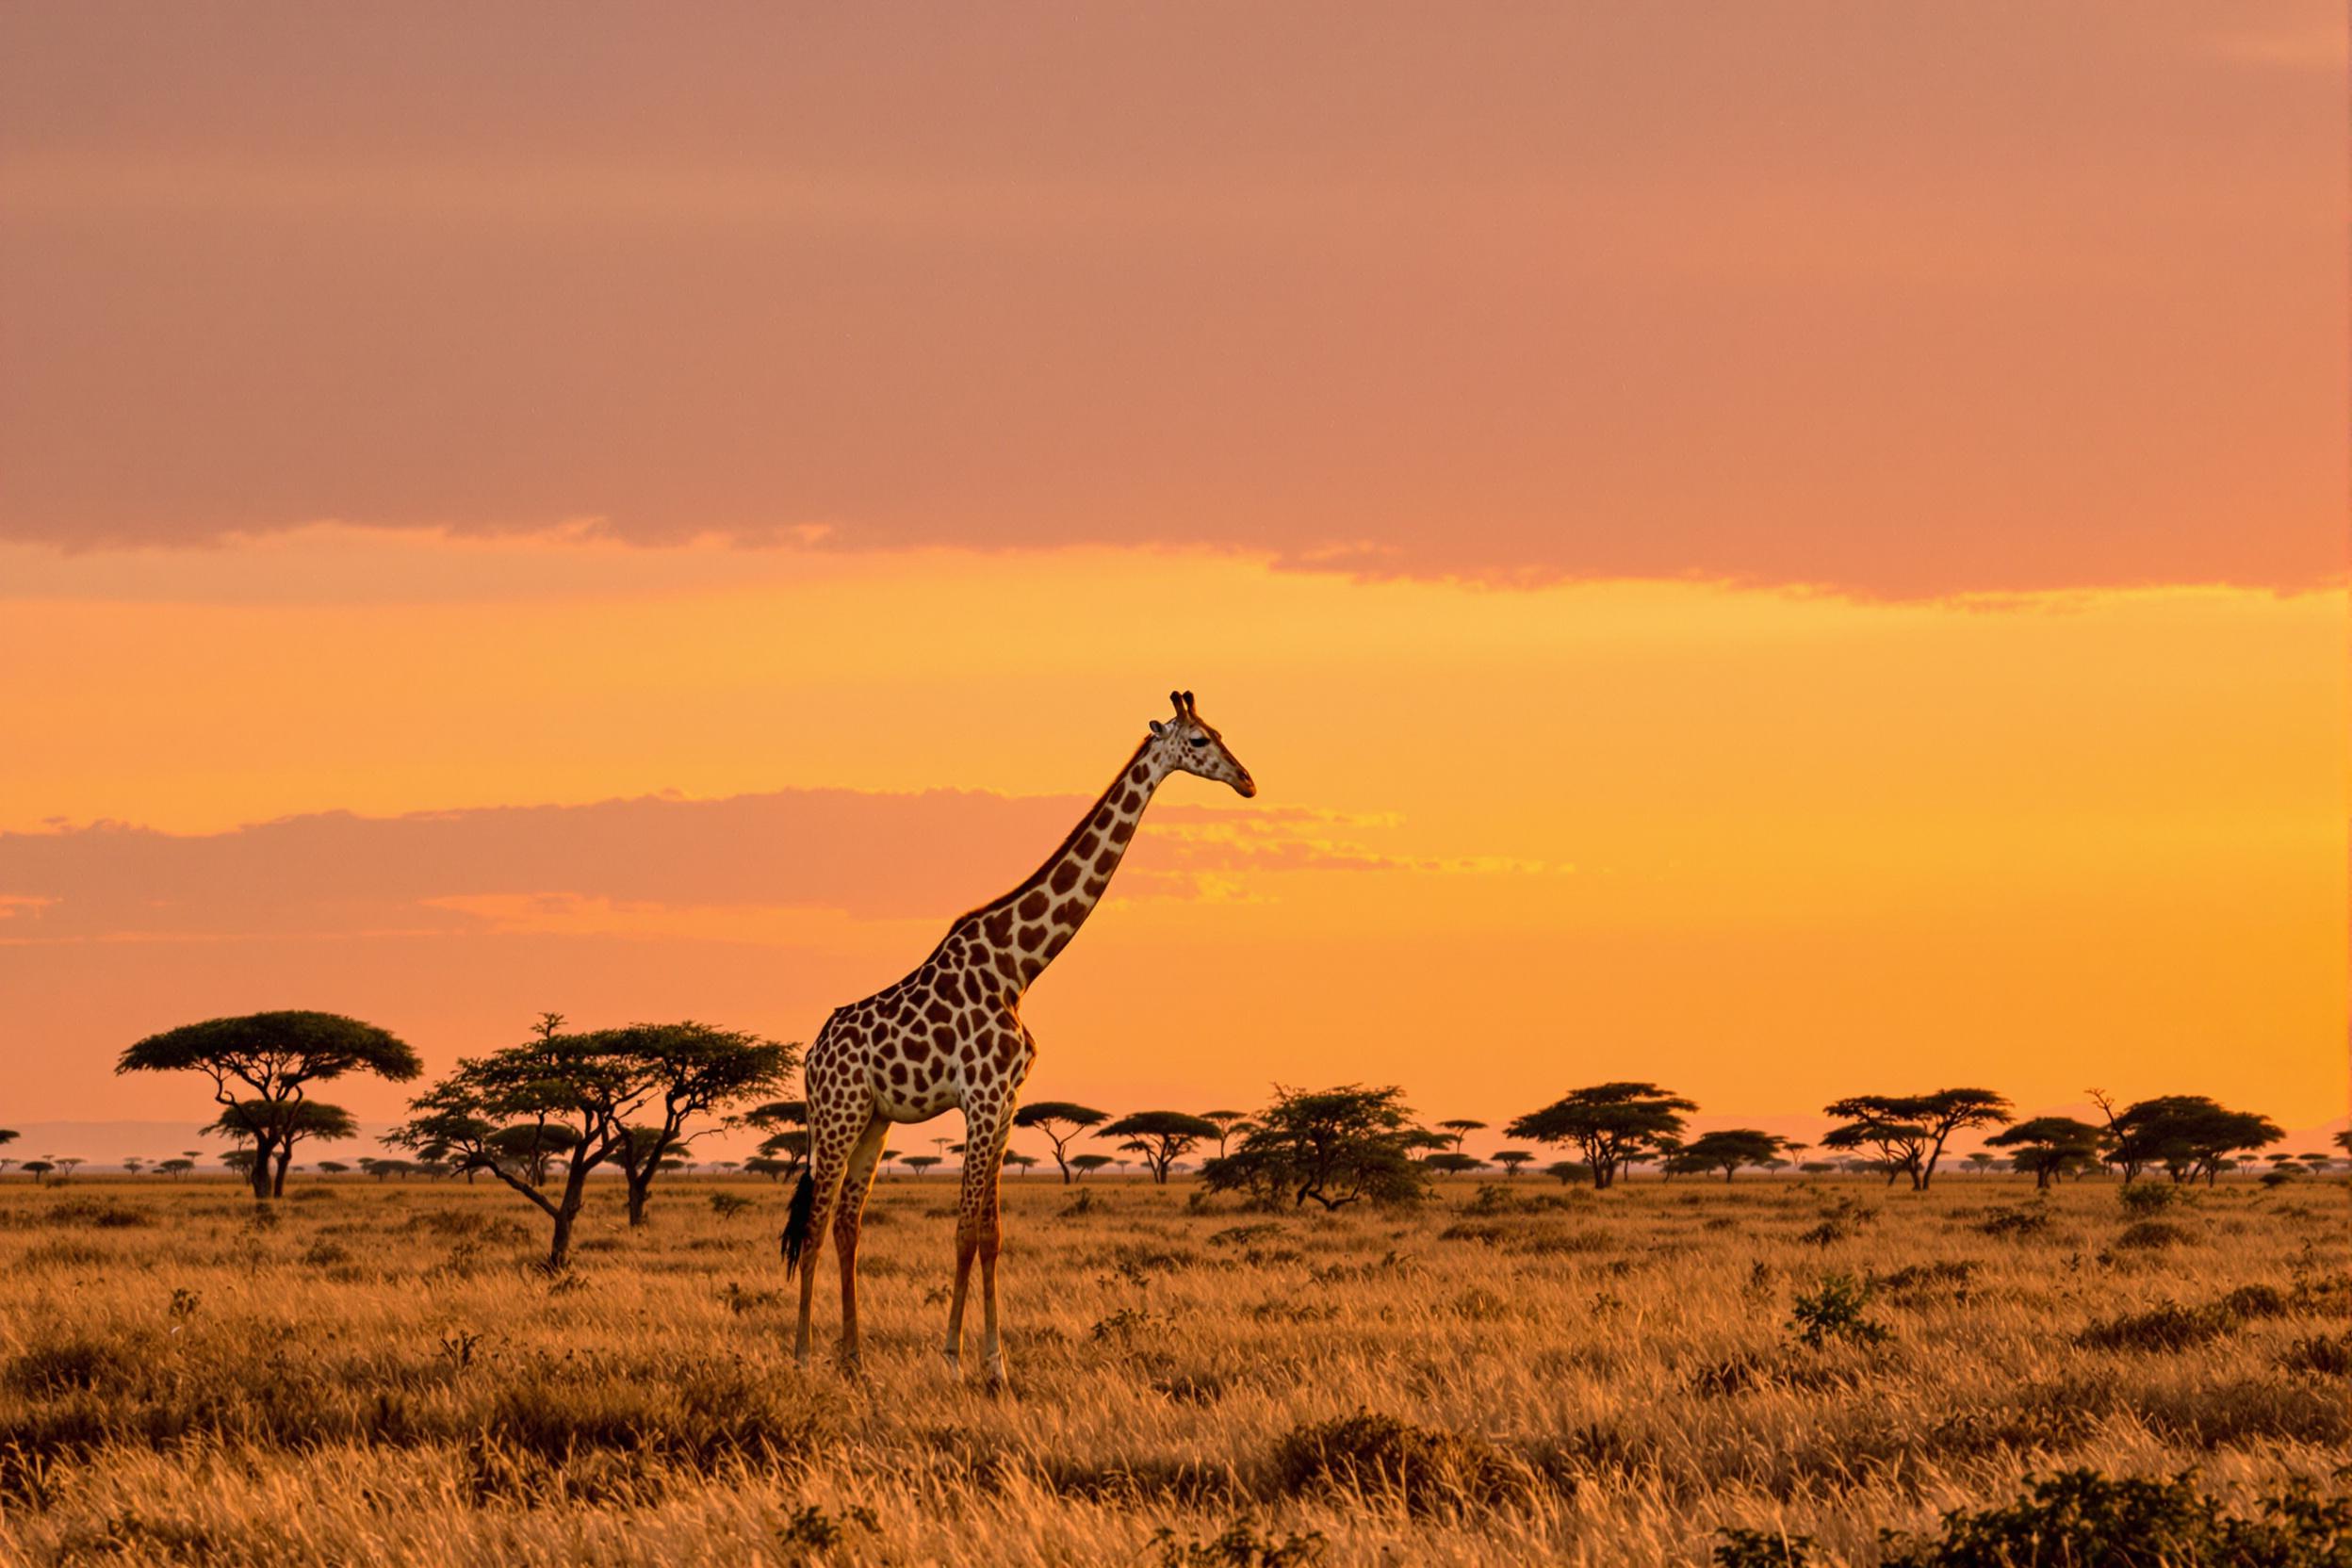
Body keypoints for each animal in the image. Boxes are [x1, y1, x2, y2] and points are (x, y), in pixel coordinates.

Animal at [780, 686, 1250, 1381]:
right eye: (1198, 740)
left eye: (1219, 732)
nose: (1247, 780)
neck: (1018, 967)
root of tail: (812, 1055)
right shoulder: (981, 1099)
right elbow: (964, 1231)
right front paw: (953, 1360)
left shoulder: (1007, 1104)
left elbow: (992, 1235)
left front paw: (997, 1363)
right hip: (835, 1116)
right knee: (813, 1225)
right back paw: (805, 1358)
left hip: (873, 1119)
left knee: (846, 1223)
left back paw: (855, 1360)